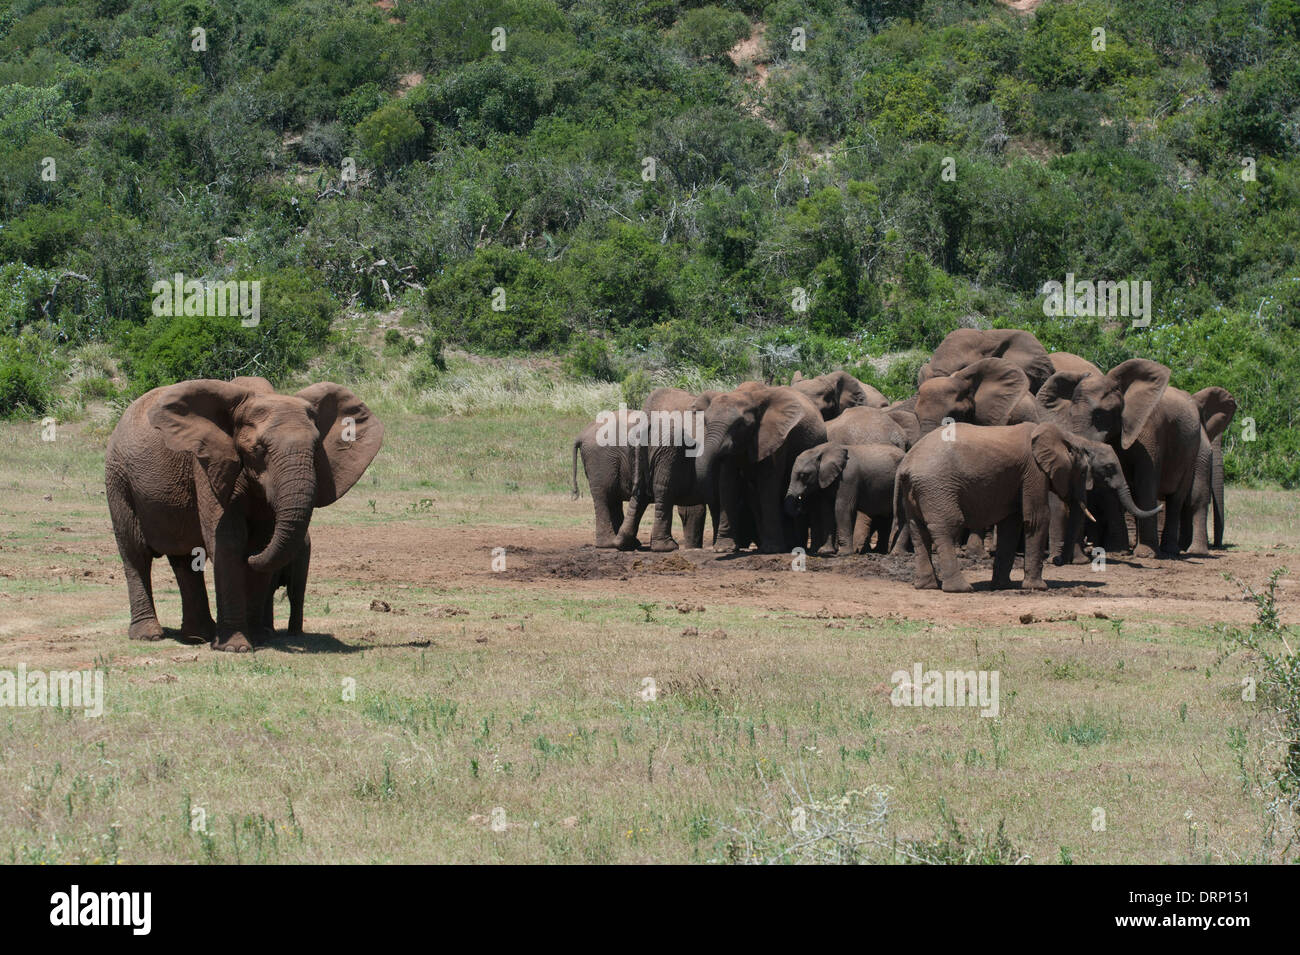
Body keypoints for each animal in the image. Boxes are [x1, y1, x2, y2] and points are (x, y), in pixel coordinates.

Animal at [107, 376, 382, 654]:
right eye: (259, 449)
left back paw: (198, 636)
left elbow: (261, 540)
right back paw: (149, 635)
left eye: (316, 448)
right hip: (118, 479)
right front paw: (235, 648)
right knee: (135, 553)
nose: (251, 559)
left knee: (185, 560)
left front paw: (259, 639)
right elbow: (227, 542)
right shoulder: (207, 464)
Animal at [696, 384, 826, 556]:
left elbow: (768, 483)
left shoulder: (776, 437)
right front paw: (723, 548)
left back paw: (788, 545)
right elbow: (727, 484)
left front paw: (772, 550)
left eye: (739, 424)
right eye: (705, 421)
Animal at [894, 423, 1159, 595]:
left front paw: (1003, 586)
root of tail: (906, 464)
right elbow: (1036, 519)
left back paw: (926, 586)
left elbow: (1012, 524)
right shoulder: (1034, 471)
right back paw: (960, 589)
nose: (1059, 561)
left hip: (919, 491)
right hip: (937, 486)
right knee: (947, 527)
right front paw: (1037, 587)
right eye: (1086, 471)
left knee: (919, 530)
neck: (1068, 436)